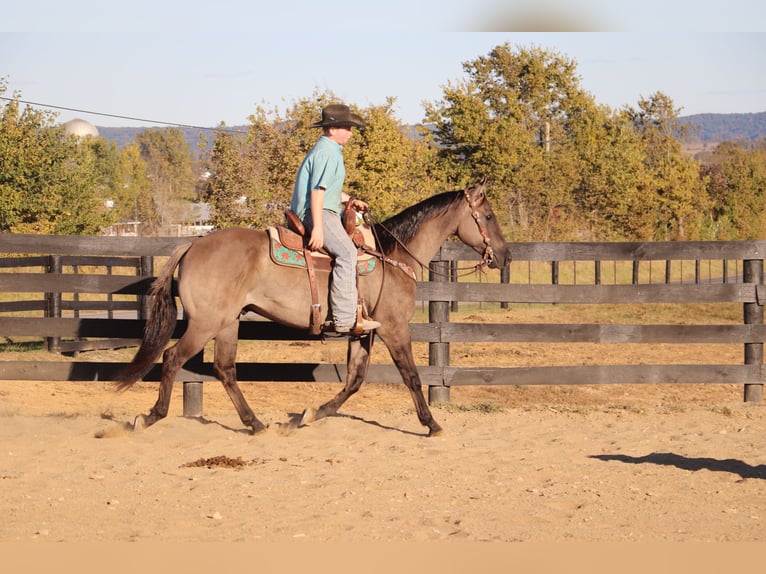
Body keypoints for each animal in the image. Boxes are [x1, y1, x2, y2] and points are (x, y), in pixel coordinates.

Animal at [117, 180, 512, 436]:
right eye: (489, 216)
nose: (505, 256)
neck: (391, 257)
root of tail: (193, 244)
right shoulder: (394, 328)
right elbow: (411, 376)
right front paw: (431, 424)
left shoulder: (363, 333)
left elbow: (353, 381)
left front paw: (305, 416)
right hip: (205, 323)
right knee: (172, 359)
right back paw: (149, 417)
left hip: (228, 323)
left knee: (225, 369)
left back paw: (256, 424)